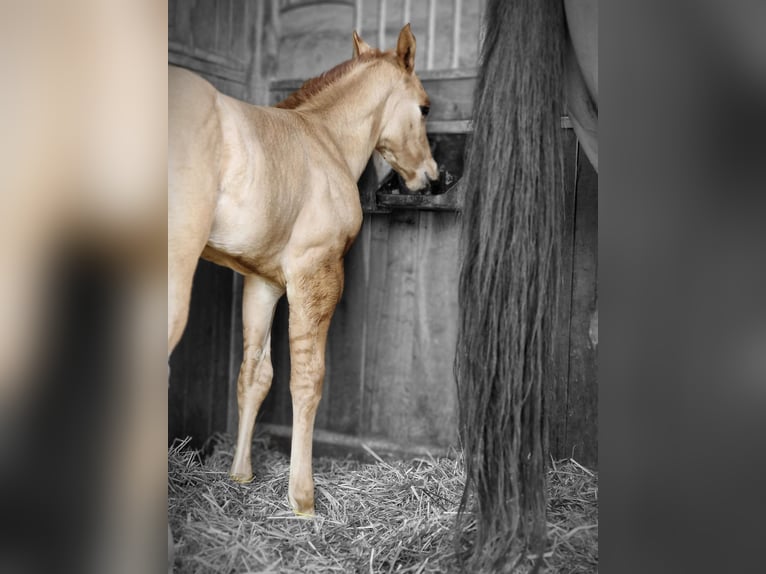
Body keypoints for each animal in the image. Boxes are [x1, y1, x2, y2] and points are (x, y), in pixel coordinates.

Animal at [168, 24, 438, 517]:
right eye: (424, 107)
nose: (430, 177)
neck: (326, 140)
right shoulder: (317, 271)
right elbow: (307, 379)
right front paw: (303, 498)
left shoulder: (263, 282)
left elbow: (254, 375)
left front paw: (241, 475)